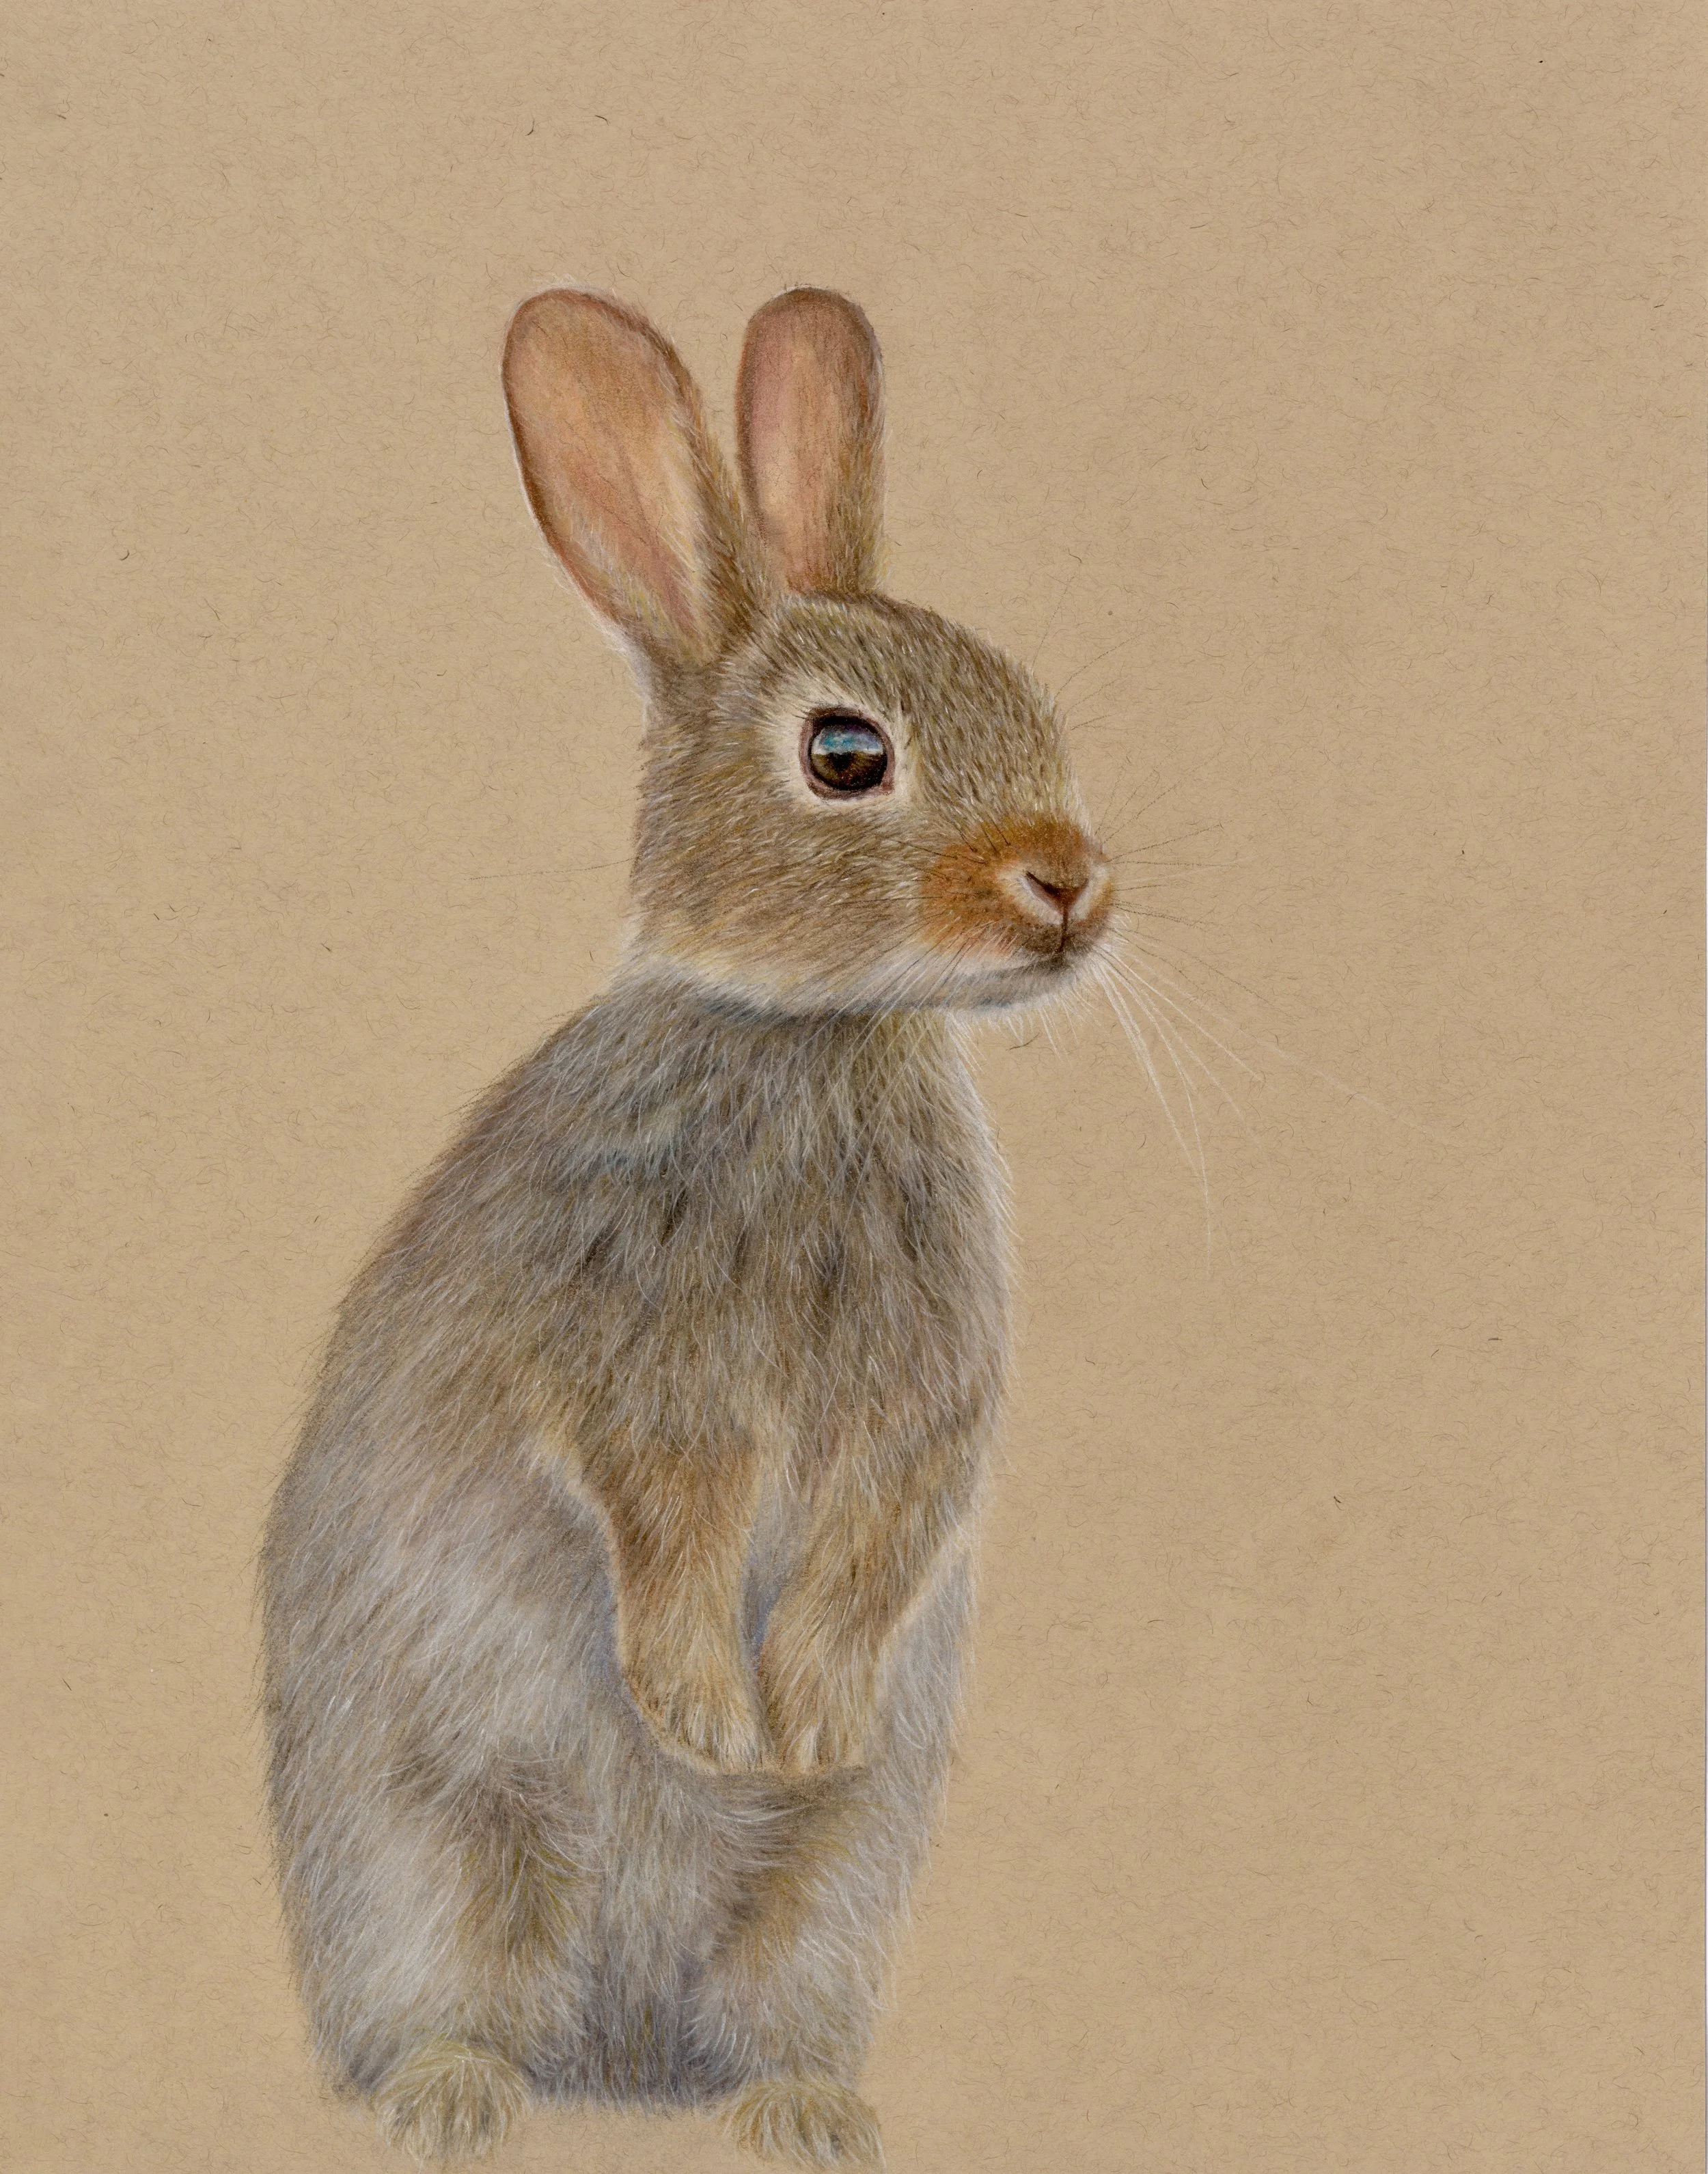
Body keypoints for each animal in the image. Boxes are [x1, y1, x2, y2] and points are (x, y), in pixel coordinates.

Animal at [259, 284, 1115, 2170]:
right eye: (847, 754)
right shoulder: (633, 1371)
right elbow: (665, 1524)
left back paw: (805, 2112)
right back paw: (454, 2099)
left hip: (830, 1902)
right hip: (429, 1860)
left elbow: (877, 1536)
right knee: (450, 1997)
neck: (809, 1031)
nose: (1073, 884)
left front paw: (810, 1717)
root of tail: (622, 2054)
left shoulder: (919, 1408)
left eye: (1032, 699)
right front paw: (714, 1715)